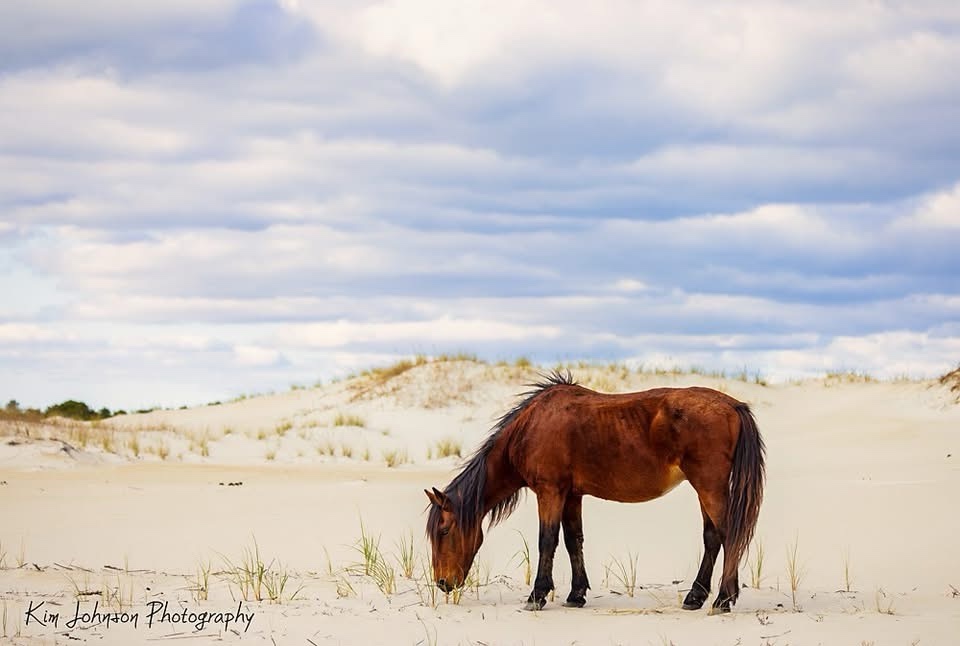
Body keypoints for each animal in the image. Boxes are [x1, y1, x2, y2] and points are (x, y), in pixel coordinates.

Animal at [426, 372, 764, 616]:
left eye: (444, 531)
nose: (442, 583)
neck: (531, 427)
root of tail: (734, 406)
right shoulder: (571, 495)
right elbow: (573, 540)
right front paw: (576, 595)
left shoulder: (549, 491)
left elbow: (547, 540)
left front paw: (537, 596)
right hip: (705, 488)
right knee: (713, 537)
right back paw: (696, 596)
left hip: (708, 485)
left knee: (728, 534)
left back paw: (723, 599)